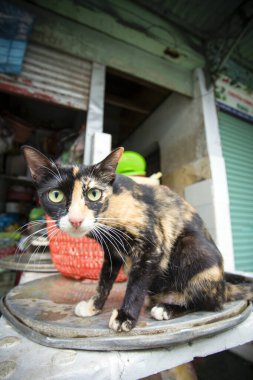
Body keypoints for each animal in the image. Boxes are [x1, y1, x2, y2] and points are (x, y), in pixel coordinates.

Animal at [22, 145, 252, 332]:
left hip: (192, 247)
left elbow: (137, 284)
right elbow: (103, 282)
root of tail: (223, 285)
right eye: (56, 195)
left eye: (94, 194)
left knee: (212, 303)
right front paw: (93, 307)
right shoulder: (111, 254)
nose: (76, 220)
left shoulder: (152, 245)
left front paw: (126, 317)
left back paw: (167, 309)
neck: (112, 205)